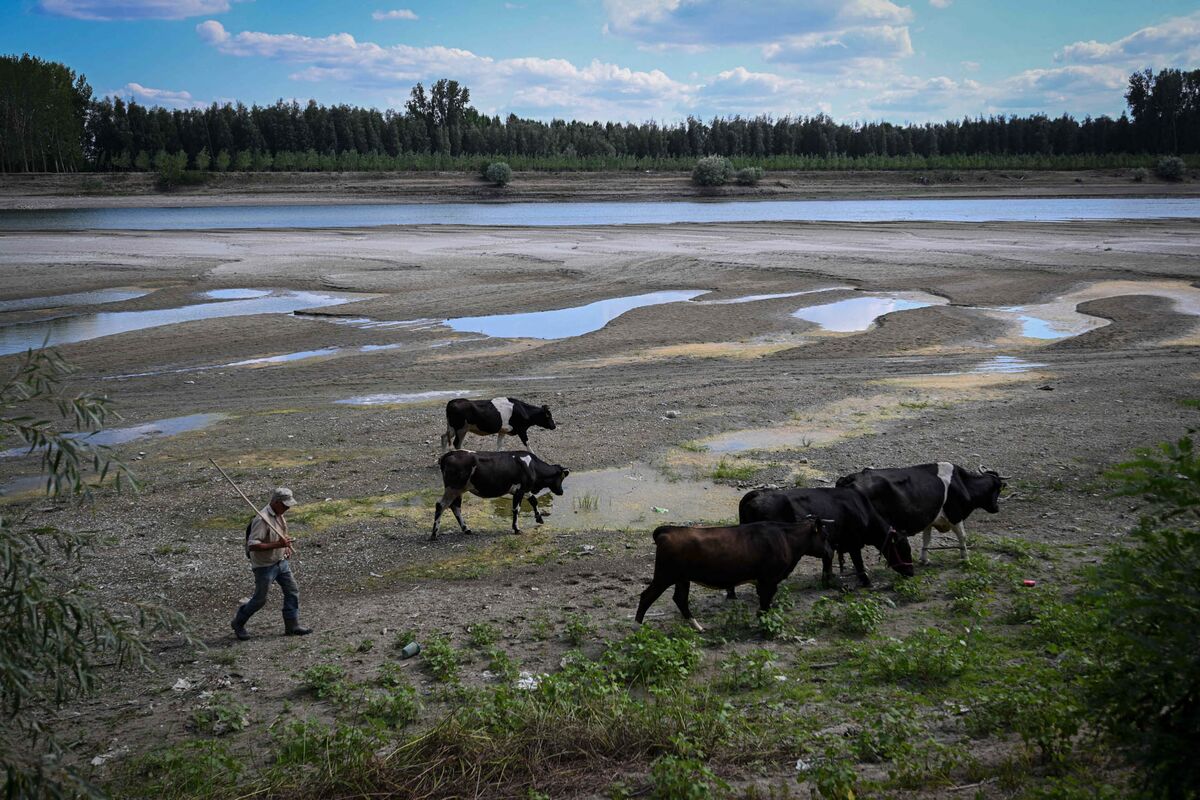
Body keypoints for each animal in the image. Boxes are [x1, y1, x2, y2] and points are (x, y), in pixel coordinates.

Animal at [434, 448, 568, 542]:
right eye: (561, 477)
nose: (561, 492)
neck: (532, 466)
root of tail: (450, 454)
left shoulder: (521, 490)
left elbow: (533, 500)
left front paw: (539, 518)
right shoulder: (520, 490)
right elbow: (516, 509)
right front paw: (516, 529)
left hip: (458, 489)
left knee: (455, 507)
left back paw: (466, 529)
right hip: (453, 488)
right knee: (441, 505)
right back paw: (434, 534)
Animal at [633, 520, 830, 638]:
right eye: (824, 536)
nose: (830, 551)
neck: (785, 538)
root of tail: (667, 529)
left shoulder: (763, 582)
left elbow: (763, 605)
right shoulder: (769, 580)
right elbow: (765, 606)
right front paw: (765, 629)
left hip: (682, 578)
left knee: (680, 599)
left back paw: (698, 627)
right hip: (664, 576)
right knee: (646, 597)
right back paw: (636, 629)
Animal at [734, 484, 912, 585]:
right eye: (904, 549)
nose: (911, 573)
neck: (863, 511)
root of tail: (758, 494)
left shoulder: (831, 542)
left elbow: (828, 560)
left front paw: (828, 580)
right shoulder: (854, 543)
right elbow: (858, 563)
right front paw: (866, 582)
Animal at [840, 460, 1008, 566]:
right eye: (998, 488)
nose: (997, 508)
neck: (962, 483)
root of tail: (850, 478)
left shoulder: (930, 519)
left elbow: (926, 539)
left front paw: (924, 559)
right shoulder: (955, 515)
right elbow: (963, 536)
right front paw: (965, 558)